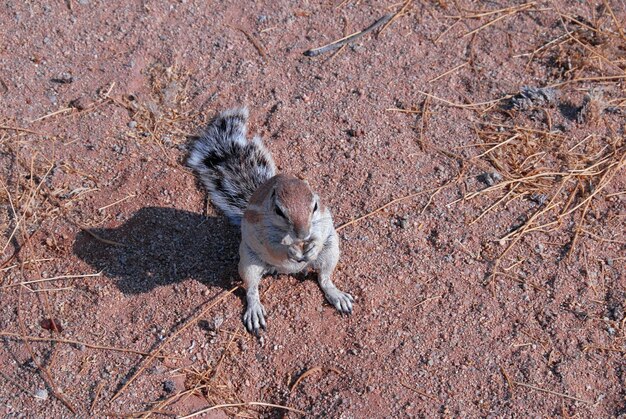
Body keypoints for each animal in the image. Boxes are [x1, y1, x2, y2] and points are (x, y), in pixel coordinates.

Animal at [185, 107, 354, 334]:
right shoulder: (263, 231)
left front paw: (312, 245)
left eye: (315, 206)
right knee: (251, 289)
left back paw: (337, 296)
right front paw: (289, 251)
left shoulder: (324, 217)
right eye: (279, 210)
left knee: (324, 278)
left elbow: (323, 229)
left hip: (331, 251)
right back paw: (255, 311)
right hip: (248, 263)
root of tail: (285, 271)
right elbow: (274, 246)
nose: (303, 234)